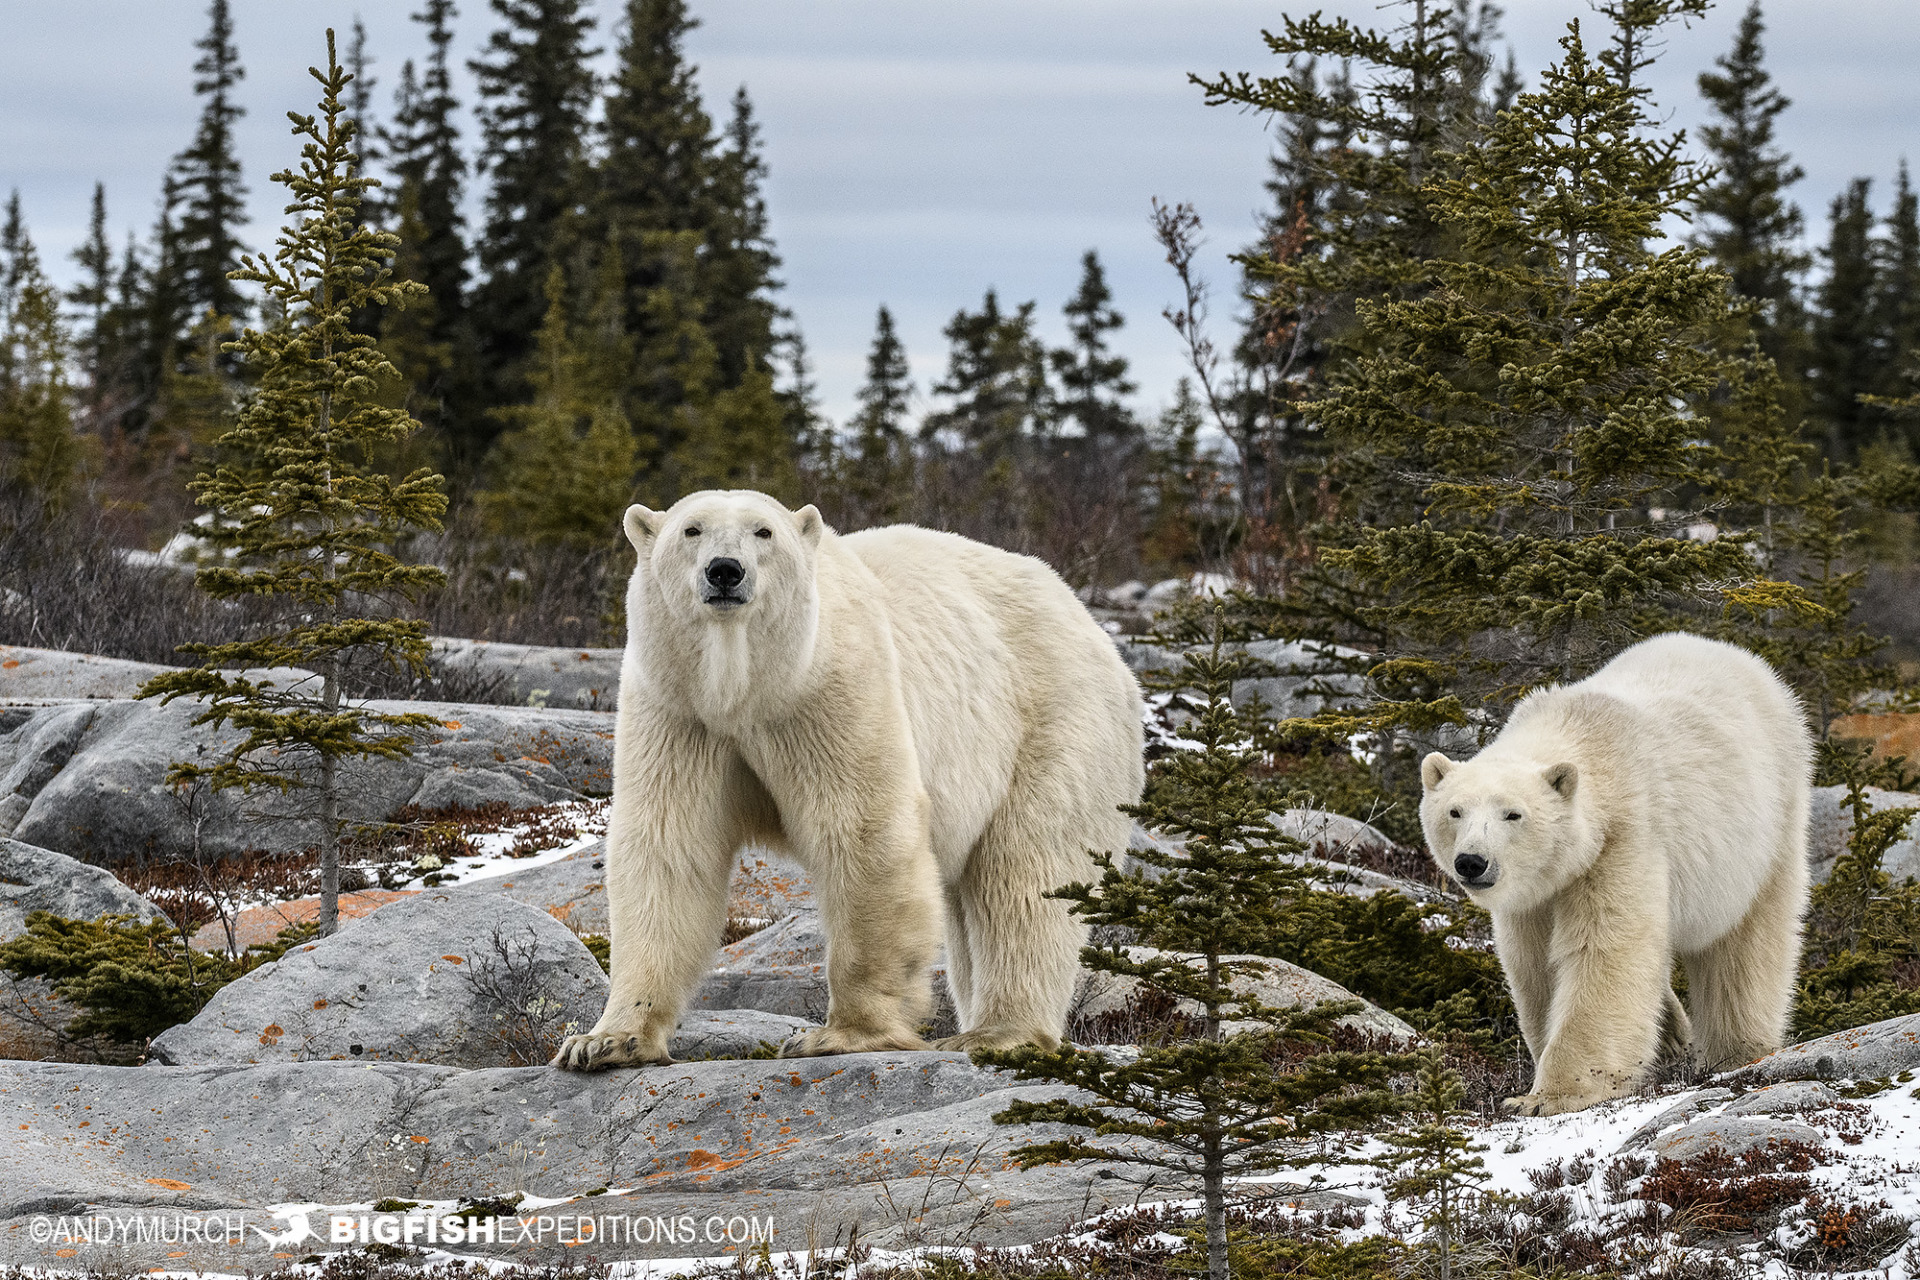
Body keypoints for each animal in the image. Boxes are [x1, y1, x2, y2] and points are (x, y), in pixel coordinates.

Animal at [553, 489, 1145, 1070]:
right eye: (690, 529)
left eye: (763, 531)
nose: (725, 570)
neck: (745, 689)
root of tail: (1088, 620)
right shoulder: (678, 710)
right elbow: (668, 847)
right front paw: (605, 1041)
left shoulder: (831, 691)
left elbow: (863, 831)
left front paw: (838, 1035)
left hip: (1052, 721)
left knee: (1027, 876)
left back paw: (997, 1033)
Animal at [1418, 632, 1812, 1116]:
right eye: (1455, 811)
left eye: (1513, 814)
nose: (1472, 862)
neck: (1582, 731)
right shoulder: (1536, 893)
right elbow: (1533, 964)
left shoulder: (1620, 841)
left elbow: (1604, 951)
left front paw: (1547, 1096)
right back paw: (1674, 1034)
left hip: (1768, 824)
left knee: (1744, 946)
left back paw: (1737, 1050)